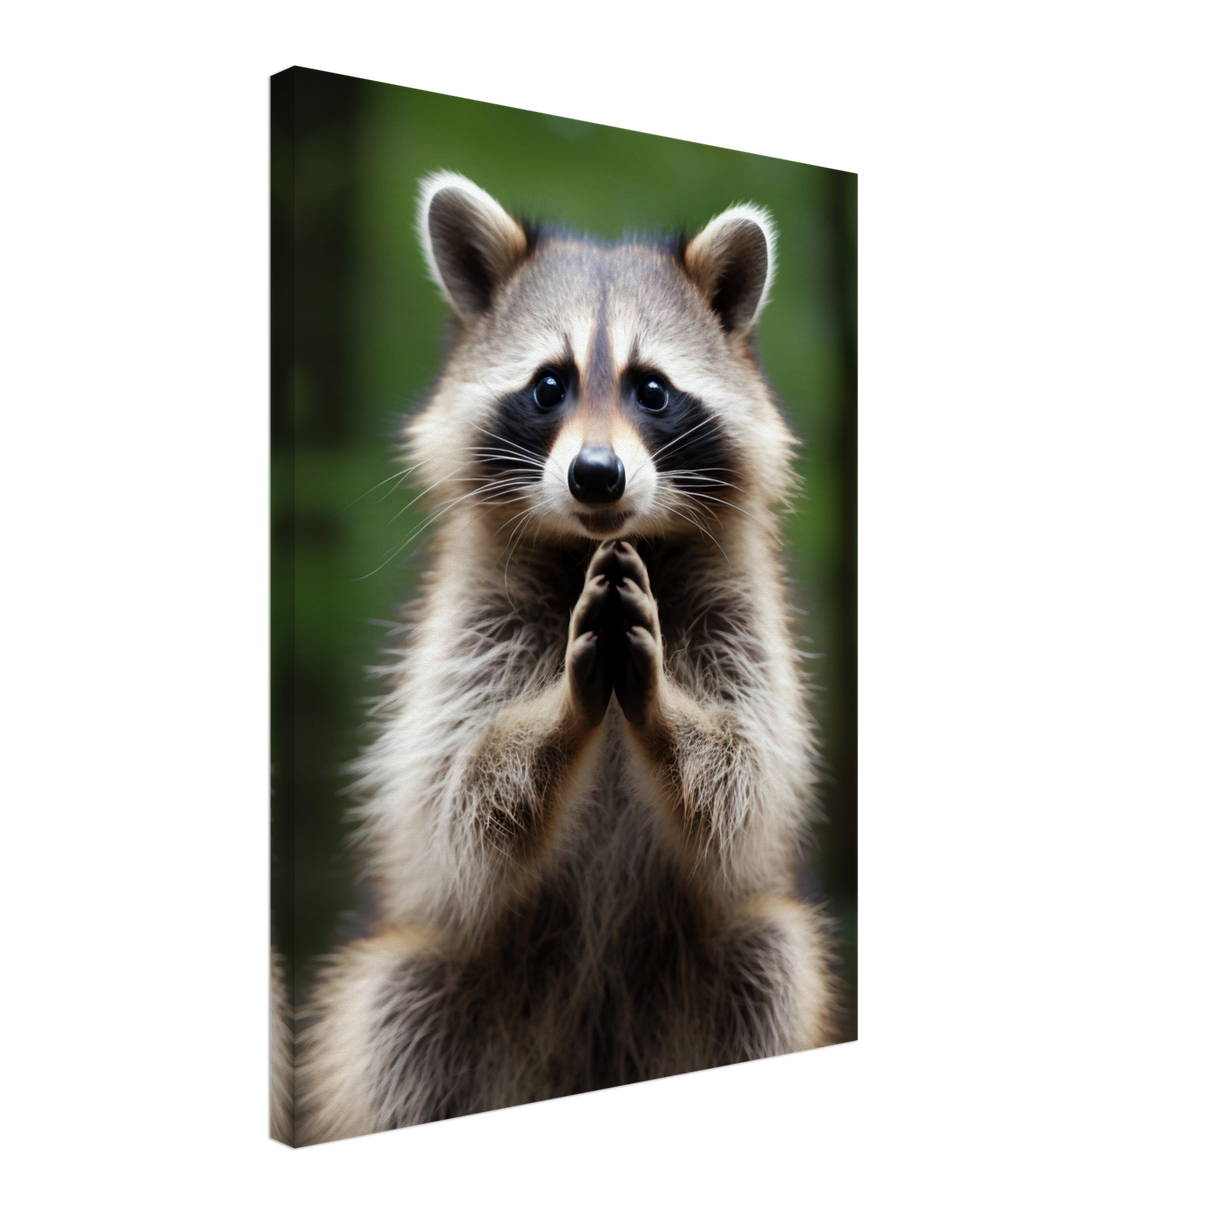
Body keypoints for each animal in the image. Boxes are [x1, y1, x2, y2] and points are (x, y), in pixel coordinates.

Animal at [297, 172, 839, 1145]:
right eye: (550, 385)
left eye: (652, 390)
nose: (595, 474)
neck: (600, 546)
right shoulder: (468, 619)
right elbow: (455, 799)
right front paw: (557, 715)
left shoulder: (745, 611)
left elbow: (744, 779)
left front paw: (666, 712)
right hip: (428, 982)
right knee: (394, 1012)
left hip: (738, 968)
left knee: (770, 960)